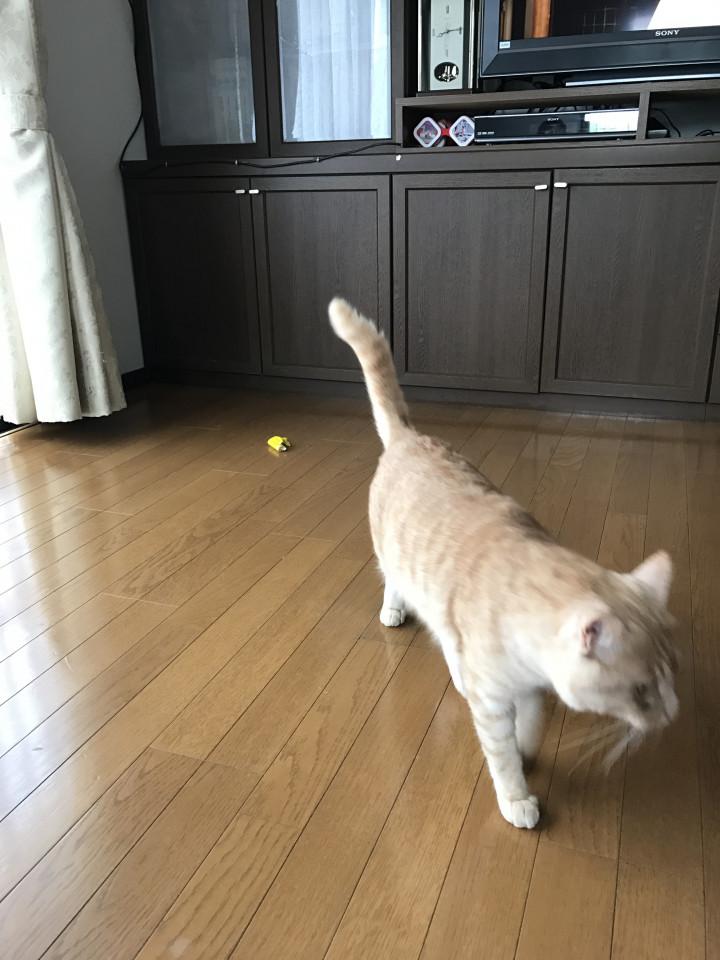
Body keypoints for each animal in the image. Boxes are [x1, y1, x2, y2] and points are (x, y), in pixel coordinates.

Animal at [328, 298, 679, 829]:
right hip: (393, 558)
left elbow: (530, 728)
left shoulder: (532, 691)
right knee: (395, 584)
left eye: (670, 675)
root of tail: (411, 436)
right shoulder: (495, 703)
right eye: (640, 691)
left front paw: (528, 753)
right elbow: (501, 752)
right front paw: (517, 795)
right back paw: (397, 614)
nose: (671, 715)